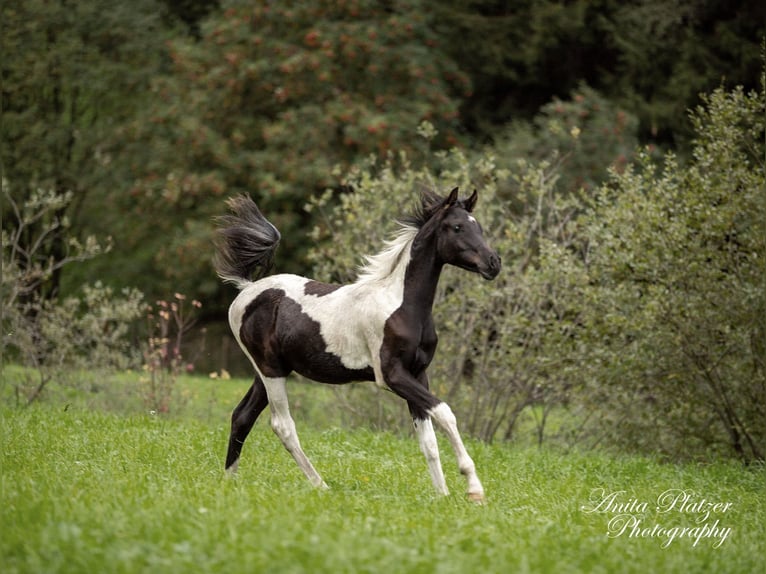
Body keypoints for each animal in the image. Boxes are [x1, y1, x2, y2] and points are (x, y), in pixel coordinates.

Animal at [214, 187, 501, 502]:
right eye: (457, 227)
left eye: (479, 226)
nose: (493, 263)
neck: (401, 306)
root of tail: (246, 289)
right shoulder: (390, 376)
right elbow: (446, 414)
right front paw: (474, 489)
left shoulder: (418, 373)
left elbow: (428, 440)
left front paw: (442, 495)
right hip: (270, 371)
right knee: (282, 425)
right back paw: (320, 485)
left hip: (266, 373)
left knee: (242, 416)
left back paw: (229, 480)